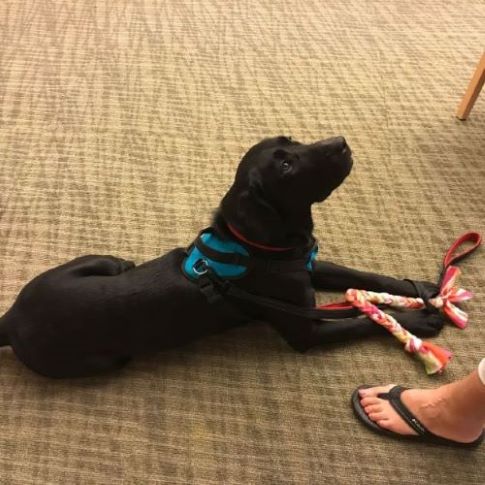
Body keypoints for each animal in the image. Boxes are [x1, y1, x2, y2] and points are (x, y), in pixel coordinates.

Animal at [0, 136, 442, 378]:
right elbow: (363, 321)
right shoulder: (306, 331)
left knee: (110, 261)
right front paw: (420, 320)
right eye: (286, 165)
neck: (258, 246)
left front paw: (426, 288)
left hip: (87, 266)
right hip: (101, 359)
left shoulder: (309, 265)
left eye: (293, 141)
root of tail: (12, 319)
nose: (341, 141)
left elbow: (364, 275)